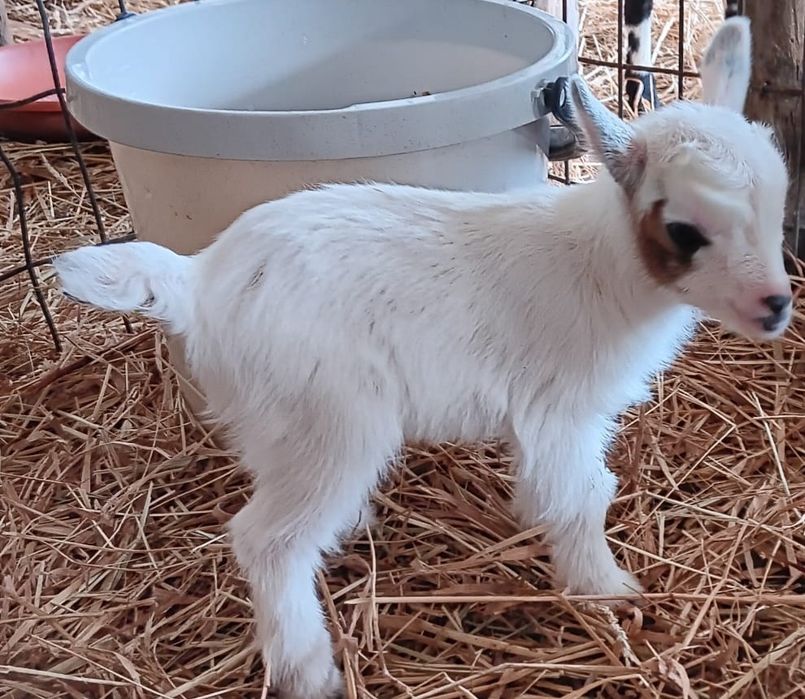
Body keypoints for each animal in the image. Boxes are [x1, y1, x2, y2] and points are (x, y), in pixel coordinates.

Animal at [54, 17, 791, 699]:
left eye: (777, 207)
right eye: (684, 230)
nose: (777, 305)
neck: (604, 268)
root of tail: (199, 279)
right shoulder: (561, 410)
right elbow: (584, 495)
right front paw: (605, 589)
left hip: (282, 421)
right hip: (333, 421)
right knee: (266, 539)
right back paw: (308, 670)